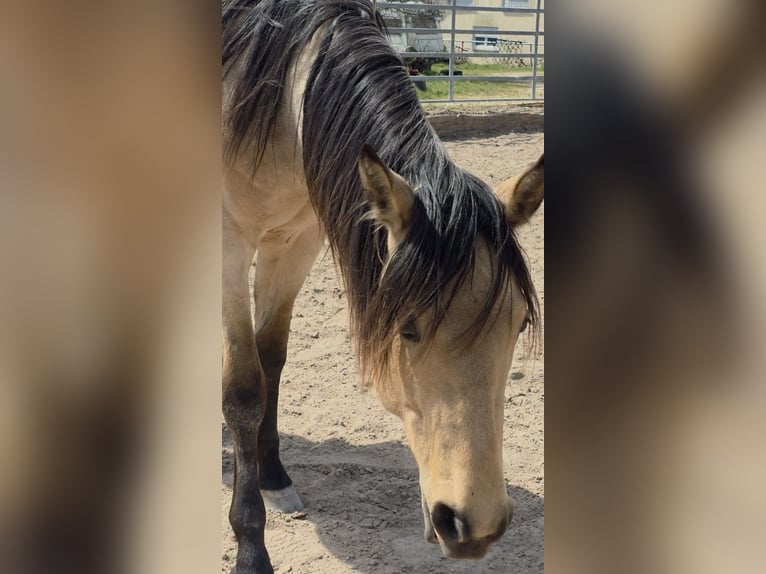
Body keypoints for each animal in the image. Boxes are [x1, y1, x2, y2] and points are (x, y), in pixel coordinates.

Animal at [222, 1, 544, 572]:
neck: (281, 92)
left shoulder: (296, 242)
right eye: (408, 329)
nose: (475, 525)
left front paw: (274, 478)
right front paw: (251, 548)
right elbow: (243, 386)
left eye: (520, 323)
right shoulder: (230, 240)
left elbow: (272, 359)